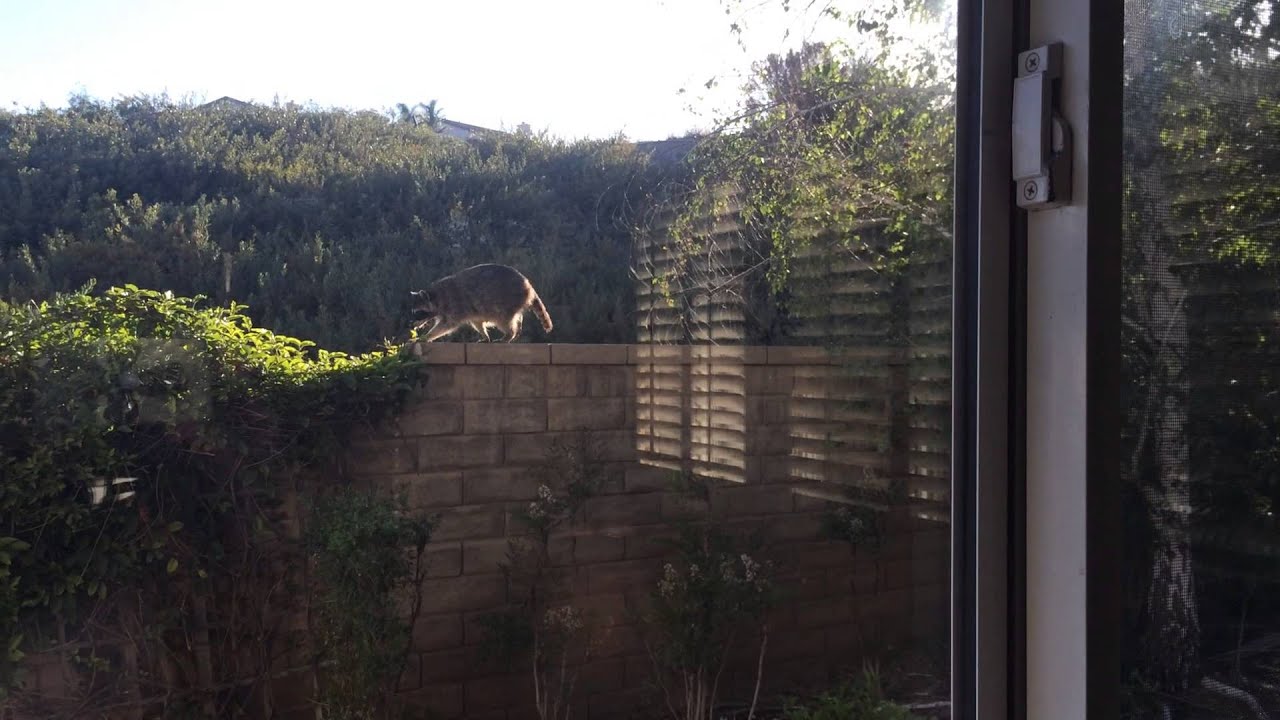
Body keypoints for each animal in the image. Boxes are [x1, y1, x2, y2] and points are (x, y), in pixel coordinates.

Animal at [409, 263, 550, 340]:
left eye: (418, 312)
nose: (412, 324)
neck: (436, 296)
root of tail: (528, 285)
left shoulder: (455, 306)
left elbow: (446, 325)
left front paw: (426, 337)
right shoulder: (469, 311)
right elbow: (476, 322)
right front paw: (485, 335)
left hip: (507, 302)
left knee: (504, 320)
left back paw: (510, 335)